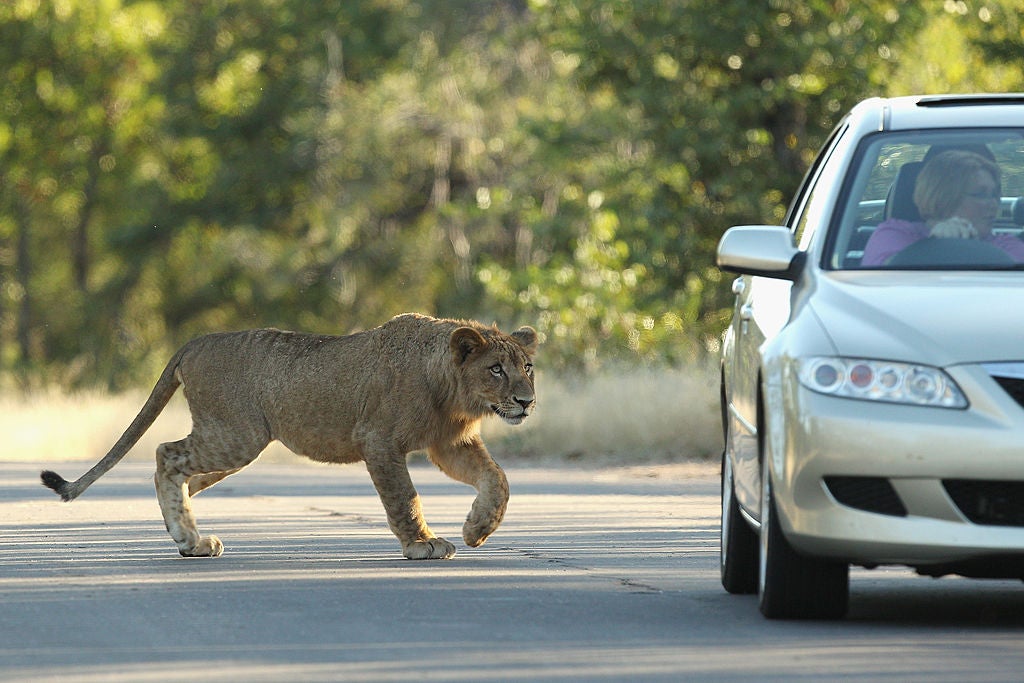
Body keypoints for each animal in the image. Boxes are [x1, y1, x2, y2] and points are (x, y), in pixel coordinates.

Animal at [41, 315, 536, 561]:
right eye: (496, 369)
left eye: (527, 367)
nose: (527, 402)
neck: (453, 392)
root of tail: (195, 342)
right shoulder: (378, 440)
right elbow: (404, 497)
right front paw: (422, 544)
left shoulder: (448, 444)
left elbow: (497, 480)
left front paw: (477, 529)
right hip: (237, 435)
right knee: (166, 454)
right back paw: (188, 539)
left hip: (232, 446)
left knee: (182, 475)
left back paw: (190, 540)